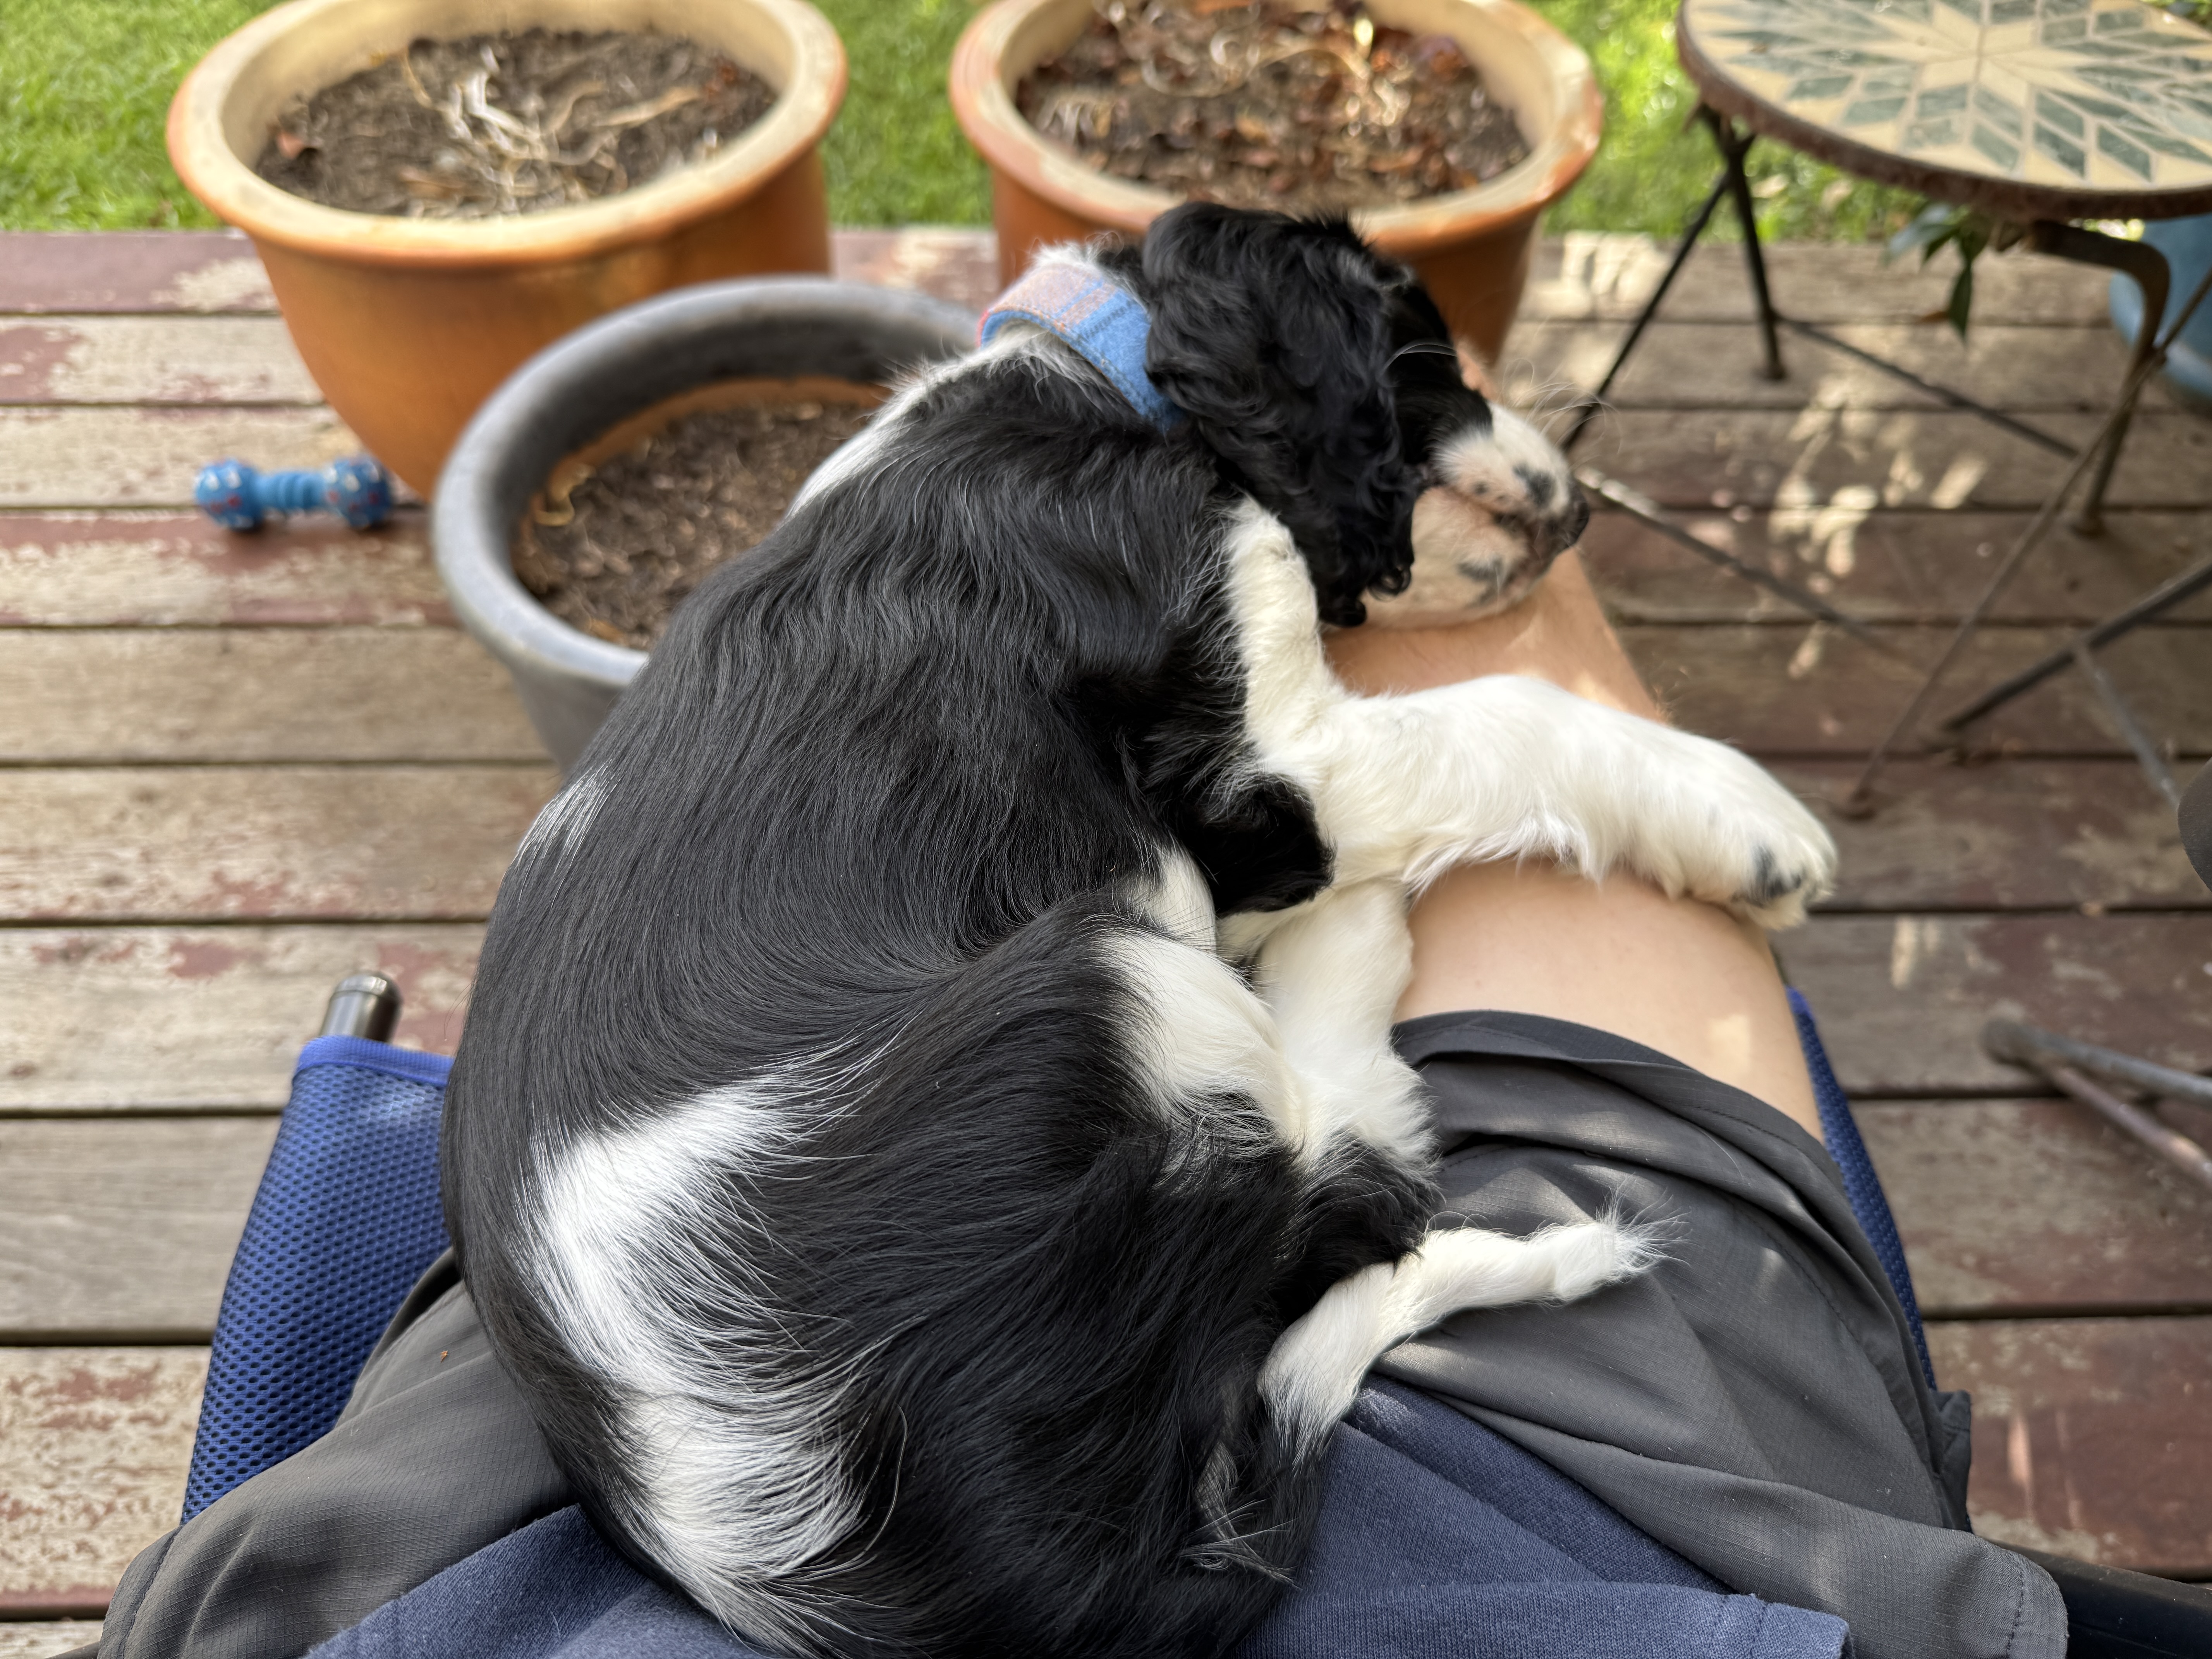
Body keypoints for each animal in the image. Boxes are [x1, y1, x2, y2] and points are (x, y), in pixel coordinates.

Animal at [444, 203, 1836, 1659]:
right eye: (1423, 361)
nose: (1567, 507)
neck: (1097, 381)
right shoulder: (1269, 764)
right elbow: (1513, 711)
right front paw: (1745, 820)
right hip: (1108, 990)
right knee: (1361, 1172)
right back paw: (1359, 954)